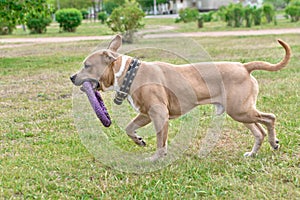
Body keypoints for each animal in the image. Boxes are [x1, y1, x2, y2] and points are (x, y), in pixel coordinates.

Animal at [70, 35, 290, 161]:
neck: (128, 73)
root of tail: (244, 67)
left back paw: (274, 143)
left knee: (270, 118)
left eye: (87, 65)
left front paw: (156, 158)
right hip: (241, 112)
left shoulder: (159, 114)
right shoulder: (145, 114)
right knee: (259, 132)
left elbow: (161, 140)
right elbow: (129, 128)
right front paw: (139, 141)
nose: (72, 77)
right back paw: (254, 153)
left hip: (241, 110)